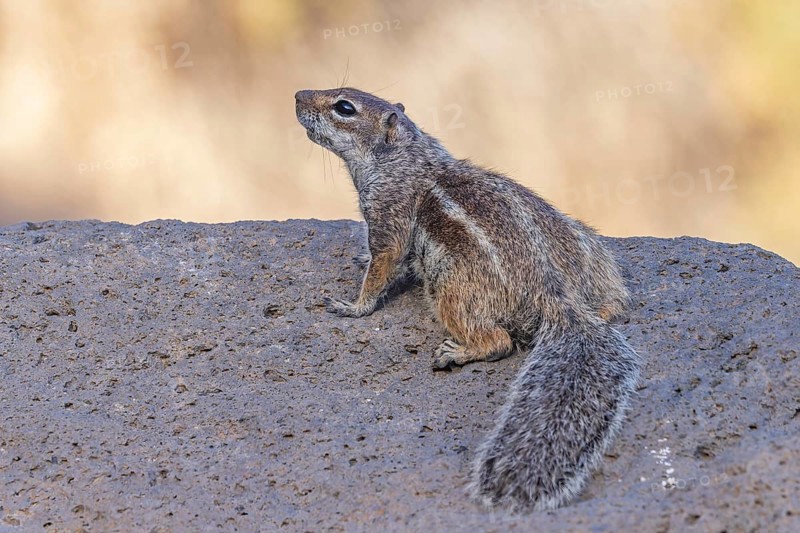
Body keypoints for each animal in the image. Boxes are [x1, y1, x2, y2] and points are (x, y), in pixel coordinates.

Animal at [294, 87, 642, 511]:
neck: (406, 154)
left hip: (451, 289)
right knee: (610, 302)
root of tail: (554, 294)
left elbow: (384, 263)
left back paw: (457, 352)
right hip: (587, 248)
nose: (297, 95)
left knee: (498, 342)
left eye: (344, 108)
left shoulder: (388, 214)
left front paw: (353, 307)